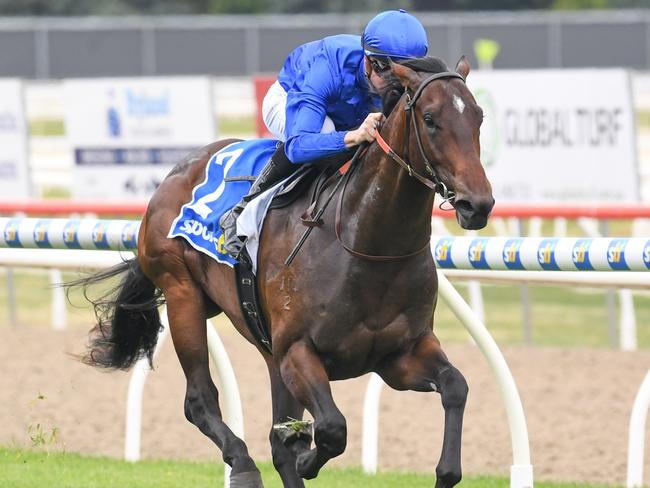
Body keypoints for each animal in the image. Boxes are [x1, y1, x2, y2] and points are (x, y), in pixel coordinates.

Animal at [73, 55, 492, 486]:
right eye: (430, 119)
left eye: (478, 117)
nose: (477, 204)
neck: (366, 245)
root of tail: (176, 172)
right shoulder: (297, 351)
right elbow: (331, 428)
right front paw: (306, 456)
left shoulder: (399, 355)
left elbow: (456, 385)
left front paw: (446, 470)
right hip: (182, 294)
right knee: (200, 400)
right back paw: (242, 465)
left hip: (264, 346)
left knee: (275, 436)